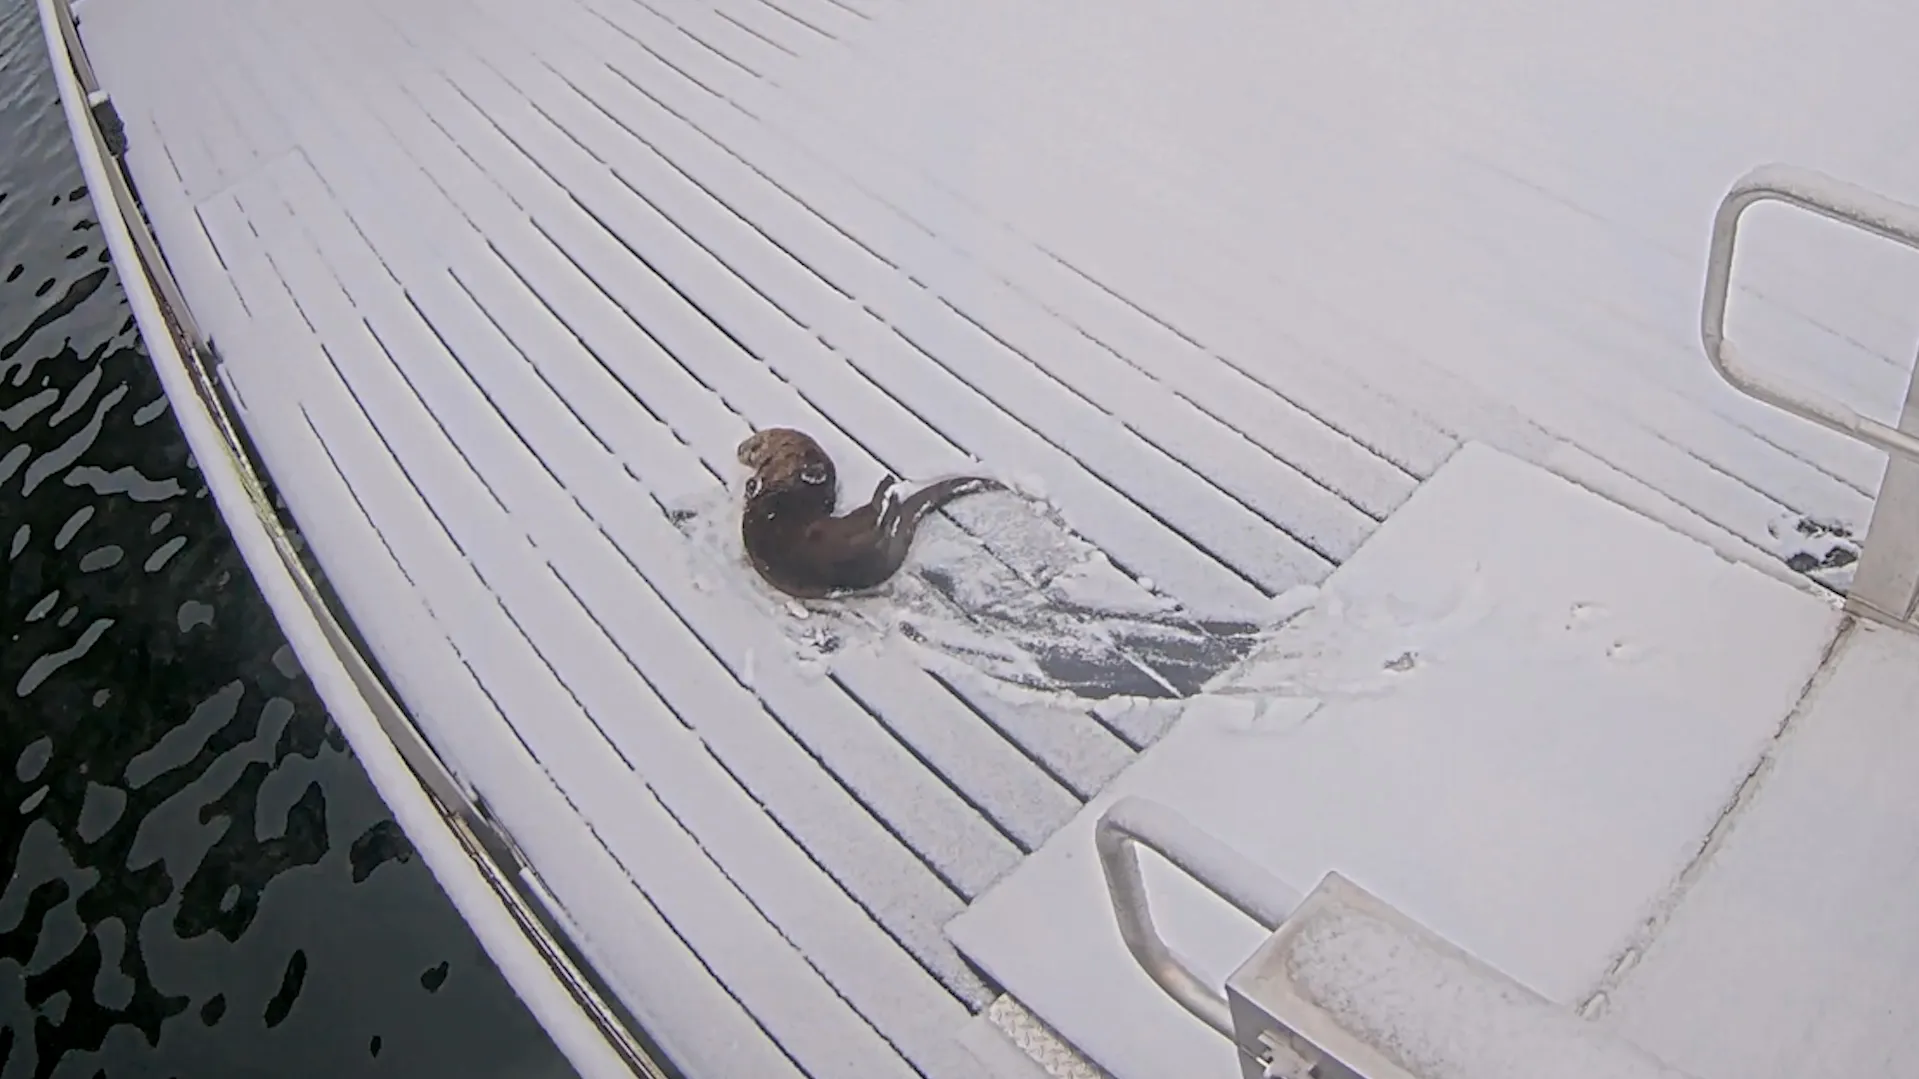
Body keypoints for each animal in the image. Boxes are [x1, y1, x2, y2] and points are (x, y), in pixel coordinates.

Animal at [736, 427, 1005, 599]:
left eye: (753, 441)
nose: (739, 448)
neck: (786, 461)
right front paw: (753, 486)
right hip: (847, 538)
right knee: (880, 519)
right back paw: (889, 491)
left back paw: (891, 490)